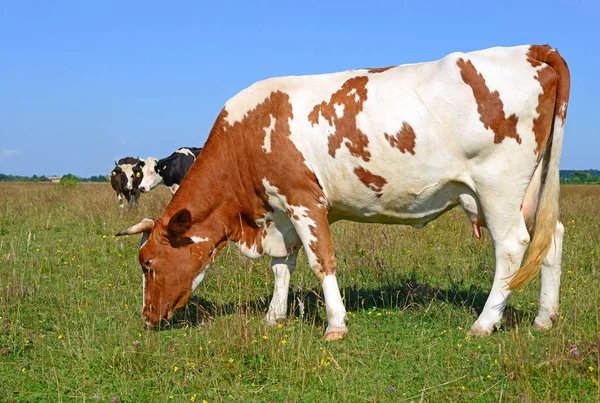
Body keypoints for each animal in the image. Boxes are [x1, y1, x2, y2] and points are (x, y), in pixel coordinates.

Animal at [118, 45, 572, 340]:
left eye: (148, 264)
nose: (146, 318)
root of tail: (530, 49)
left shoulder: (304, 201)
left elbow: (322, 262)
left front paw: (336, 324)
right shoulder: (280, 213)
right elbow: (282, 267)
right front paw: (273, 317)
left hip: (499, 186)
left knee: (512, 247)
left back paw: (485, 322)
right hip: (531, 187)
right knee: (550, 240)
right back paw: (544, 318)